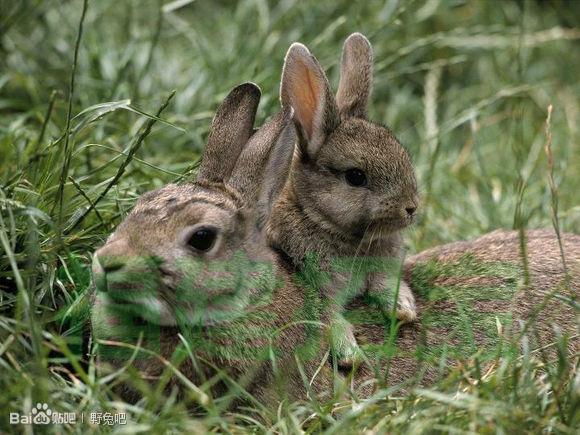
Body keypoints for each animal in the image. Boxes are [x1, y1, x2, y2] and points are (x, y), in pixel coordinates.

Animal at [268, 33, 422, 368]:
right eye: (355, 176)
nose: (411, 208)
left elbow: (385, 283)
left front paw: (404, 309)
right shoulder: (316, 287)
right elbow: (329, 318)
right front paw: (351, 355)